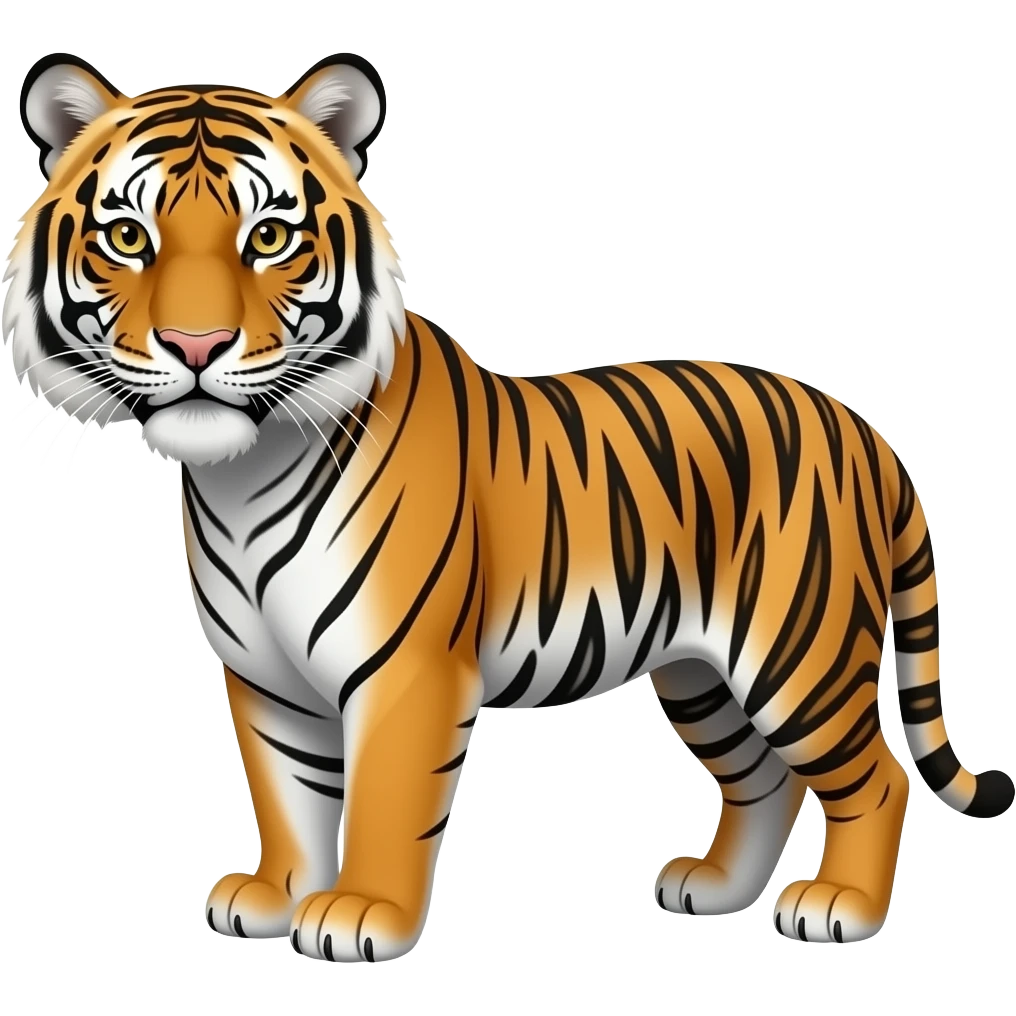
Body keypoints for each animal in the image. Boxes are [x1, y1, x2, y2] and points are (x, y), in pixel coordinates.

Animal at [4, 49, 1011, 964]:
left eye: (270, 239)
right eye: (128, 238)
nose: (197, 344)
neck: (241, 476)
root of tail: (862, 429)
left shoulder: (406, 668)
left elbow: (384, 799)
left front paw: (360, 915)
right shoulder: (265, 676)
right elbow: (289, 794)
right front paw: (276, 895)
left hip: (796, 652)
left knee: (875, 778)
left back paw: (839, 908)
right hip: (701, 671)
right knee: (763, 778)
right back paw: (716, 887)